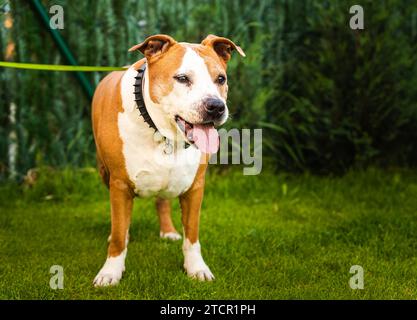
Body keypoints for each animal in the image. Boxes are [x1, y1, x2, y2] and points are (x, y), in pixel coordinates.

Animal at [90, 33, 244, 286]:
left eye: (220, 79)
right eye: (182, 78)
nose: (216, 106)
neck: (162, 131)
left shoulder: (195, 187)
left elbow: (192, 234)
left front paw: (196, 268)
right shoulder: (119, 184)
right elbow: (120, 233)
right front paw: (110, 272)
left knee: (162, 200)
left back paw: (168, 230)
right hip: (104, 172)